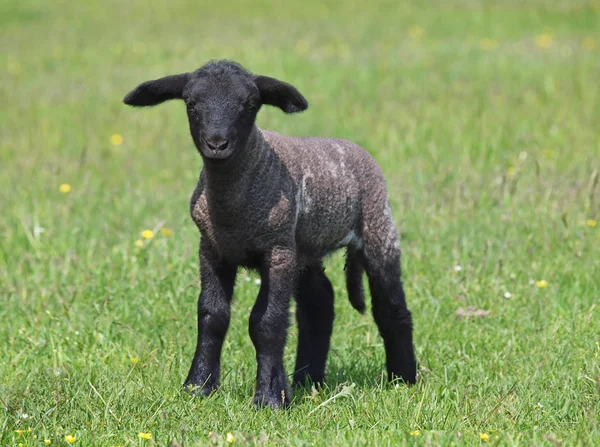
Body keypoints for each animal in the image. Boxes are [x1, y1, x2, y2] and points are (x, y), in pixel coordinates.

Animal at [123, 60, 418, 410]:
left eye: (250, 104)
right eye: (191, 104)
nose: (217, 144)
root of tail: (356, 148)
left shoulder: (277, 250)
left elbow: (267, 322)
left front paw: (269, 398)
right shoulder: (212, 248)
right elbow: (212, 316)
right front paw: (199, 387)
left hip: (377, 225)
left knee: (390, 305)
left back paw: (404, 379)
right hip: (305, 248)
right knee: (319, 304)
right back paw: (308, 380)